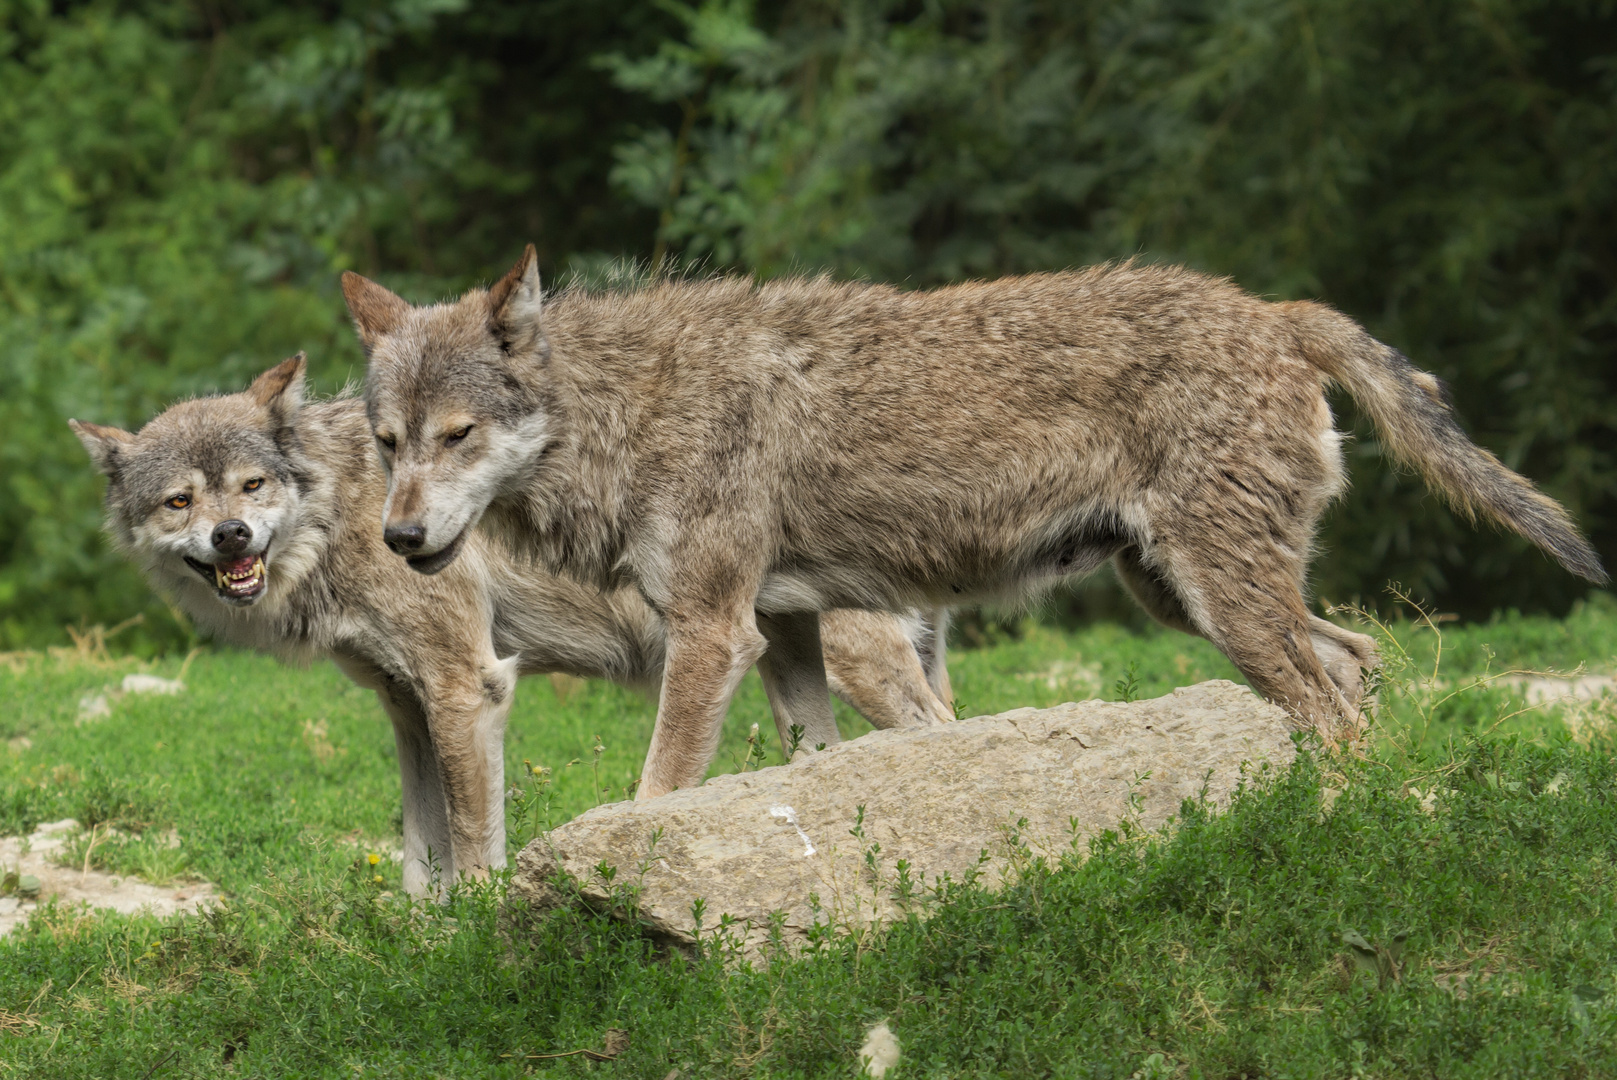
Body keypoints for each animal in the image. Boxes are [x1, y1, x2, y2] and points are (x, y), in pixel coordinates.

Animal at [69, 358, 950, 892]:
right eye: (180, 501)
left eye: (252, 485)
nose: (231, 537)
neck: (341, 514)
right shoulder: (406, 704)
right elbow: (419, 854)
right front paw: (418, 943)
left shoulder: (467, 686)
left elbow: (469, 840)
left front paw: (477, 935)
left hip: (852, 667)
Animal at [344, 248, 1604, 798]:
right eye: (387, 443)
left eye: (457, 436)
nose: (398, 542)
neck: (629, 406)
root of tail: (1273, 309)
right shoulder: (784, 633)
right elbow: (810, 773)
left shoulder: (712, 633)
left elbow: (658, 792)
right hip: (1190, 601)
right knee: (1359, 663)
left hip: (1225, 607)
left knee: (1336, 705)